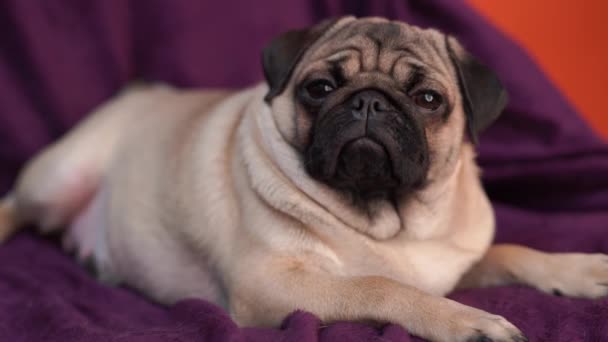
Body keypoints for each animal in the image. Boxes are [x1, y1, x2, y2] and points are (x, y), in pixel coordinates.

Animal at [1, 17, 608, 342]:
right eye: (320, 88)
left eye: (428, 99)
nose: (370, 101)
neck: (388, 221)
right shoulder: (273, 287)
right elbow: (382, 287)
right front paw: (468, 322)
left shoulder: (454, 262)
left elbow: (514, 252)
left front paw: (581, 271)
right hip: (58, 178)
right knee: (16, 203)